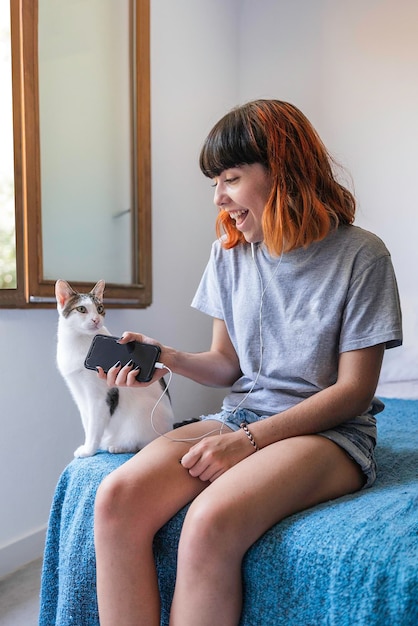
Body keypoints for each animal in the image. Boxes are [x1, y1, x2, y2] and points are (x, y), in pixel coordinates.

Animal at [54, 280, 174, 456]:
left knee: (142, 444)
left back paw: (118, 446)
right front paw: (89, 446)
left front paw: (88, 450)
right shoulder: (78, 393)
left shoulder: (99, 396)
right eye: (81, 309)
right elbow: (87, 422)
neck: (79, 341)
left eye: (99, 308)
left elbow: (94, 426)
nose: (96, 320)